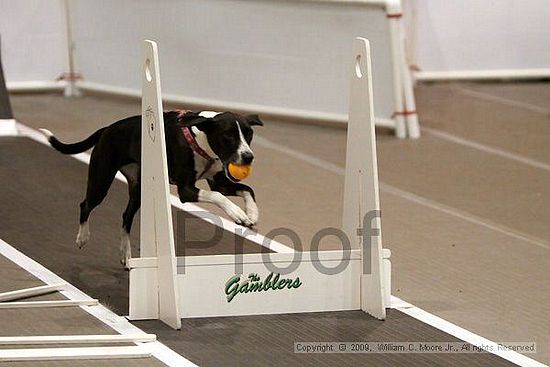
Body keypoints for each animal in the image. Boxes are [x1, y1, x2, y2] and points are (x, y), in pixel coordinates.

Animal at [40, 110, 264, 268]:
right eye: (228, 136)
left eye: (249, 135)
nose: (248, 157)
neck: (198, 136)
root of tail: (107, 129)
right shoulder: (186, 190)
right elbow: (219, 196)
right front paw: (237, 213)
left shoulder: (220, 182)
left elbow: (248, 190)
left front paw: (251, 214)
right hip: (101, 181)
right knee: (85, 205)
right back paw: (83, 237)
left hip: (139, 188)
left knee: (126, 217)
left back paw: (126, 255)